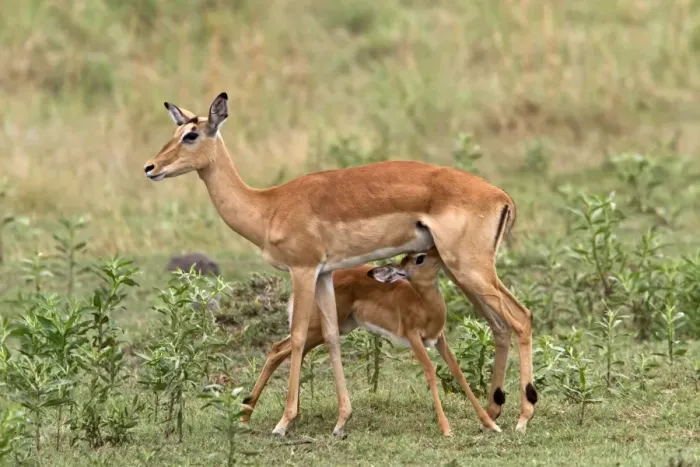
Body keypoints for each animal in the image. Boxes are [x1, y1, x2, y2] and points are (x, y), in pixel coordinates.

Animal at [241, 247, 501, 436]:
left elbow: (457, 371)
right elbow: (429, 370)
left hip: (327, 331)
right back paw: (263, 420)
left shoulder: (438, 339)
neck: (424, 304)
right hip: (316, 329)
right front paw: (446, 429)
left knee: (288, 351)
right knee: (279, 349)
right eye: (420, 258)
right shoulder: (414, 338)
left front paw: (490, 423)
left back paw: (271, 417)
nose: (440, 251)